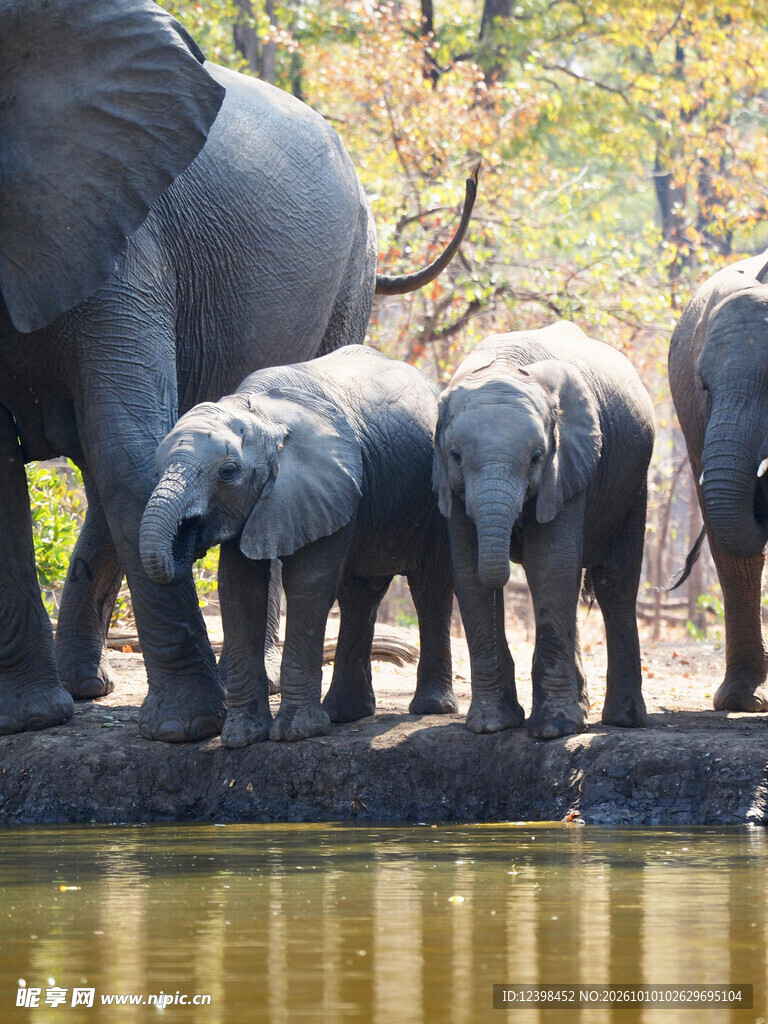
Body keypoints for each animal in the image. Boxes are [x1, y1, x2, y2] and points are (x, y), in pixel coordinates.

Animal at [139, 345, 458, 745]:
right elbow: (239, 590)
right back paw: (344, 713)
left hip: (436, 499)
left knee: (429, 587)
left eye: (228, 472)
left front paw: (295, 733)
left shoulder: (326, 482)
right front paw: (241, 737)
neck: (258, 413)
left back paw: (430, 708)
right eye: (157, 468)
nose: (189, 534)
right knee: (359, 595)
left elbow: (308, 584)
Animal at [433, 322, 655, 739]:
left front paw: (554, 730)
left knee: (615, 581)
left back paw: (624, 720)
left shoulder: (568, 463)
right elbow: (468, 571)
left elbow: (549, 564)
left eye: (537, 457)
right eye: (455, 456)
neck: (502, 368)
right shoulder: (448, 483)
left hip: (633, 483)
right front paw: (491, 726)